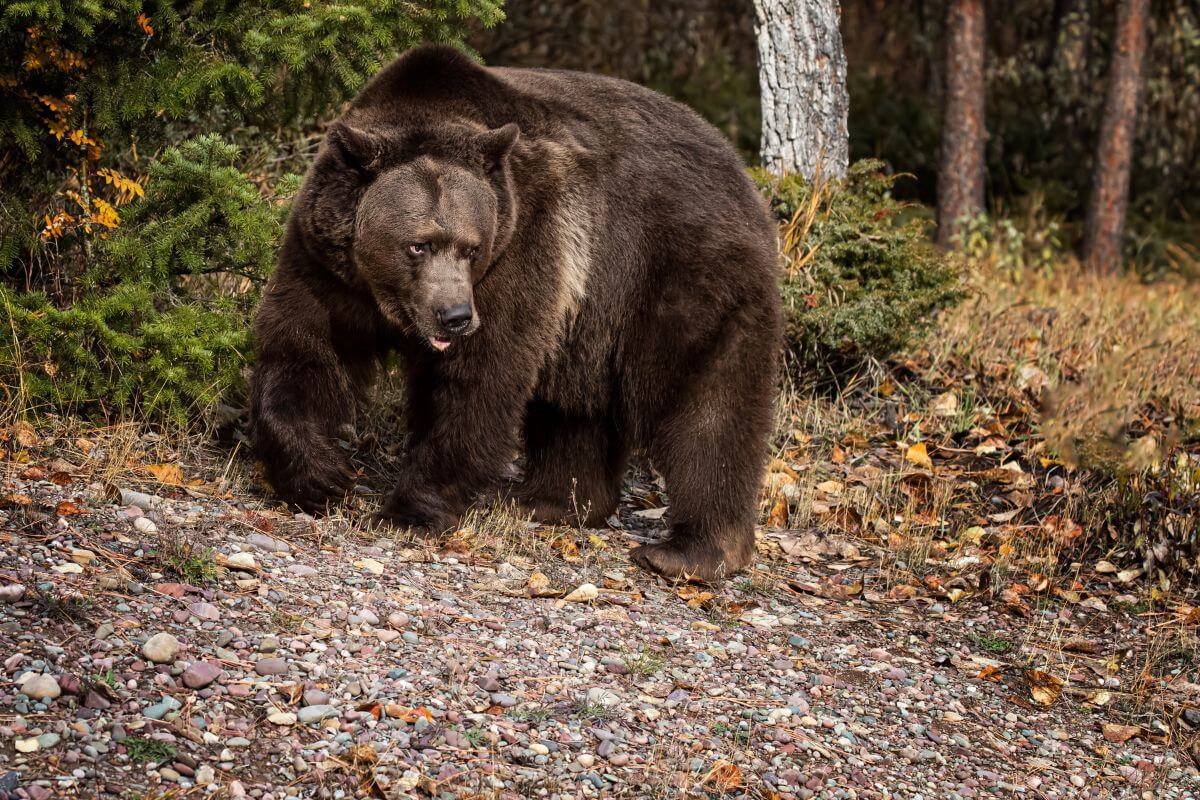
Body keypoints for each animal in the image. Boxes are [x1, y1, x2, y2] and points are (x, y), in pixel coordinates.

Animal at [249, 45, 782, 581]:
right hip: (591, 316)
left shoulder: (519, 248)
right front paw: (320, 476)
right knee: (574, 405)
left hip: (677, 276)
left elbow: (481, 380)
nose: (455, 316)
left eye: (470, 247)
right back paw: (548, 501)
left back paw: (690, 550)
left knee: (705, 406)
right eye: (418, 245)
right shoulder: (327, 263)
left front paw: (408, 510)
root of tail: (742, 173)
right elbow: (303, 349)